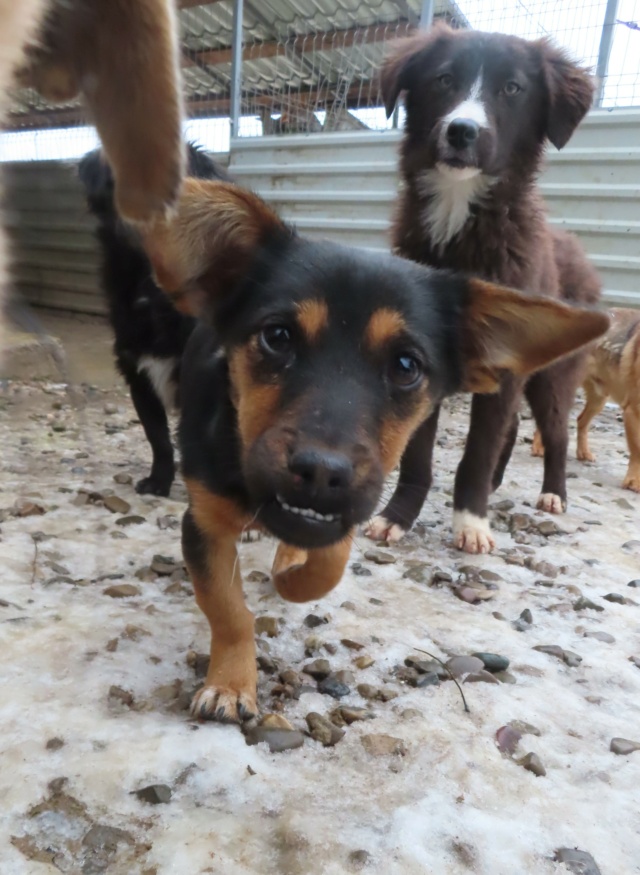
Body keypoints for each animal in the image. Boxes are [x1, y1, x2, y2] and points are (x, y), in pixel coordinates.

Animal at [142, 180, 608, 724]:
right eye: (276, 336)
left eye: (406, 366)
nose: (320, 473)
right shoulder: (202, 522)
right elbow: (227, 608)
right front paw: (231, 685)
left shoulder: (351, 505)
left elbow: (327, 563)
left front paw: (292, 580)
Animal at [372, 25, 604, 556]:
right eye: (443, 79)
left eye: (512, 88)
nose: (462, 131)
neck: (460, 217)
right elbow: (418, 453)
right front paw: (398, 517)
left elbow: (478, 448)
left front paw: (471, 521)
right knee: (513, 426)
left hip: (553, 376)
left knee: (555, 433)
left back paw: (553, 493)